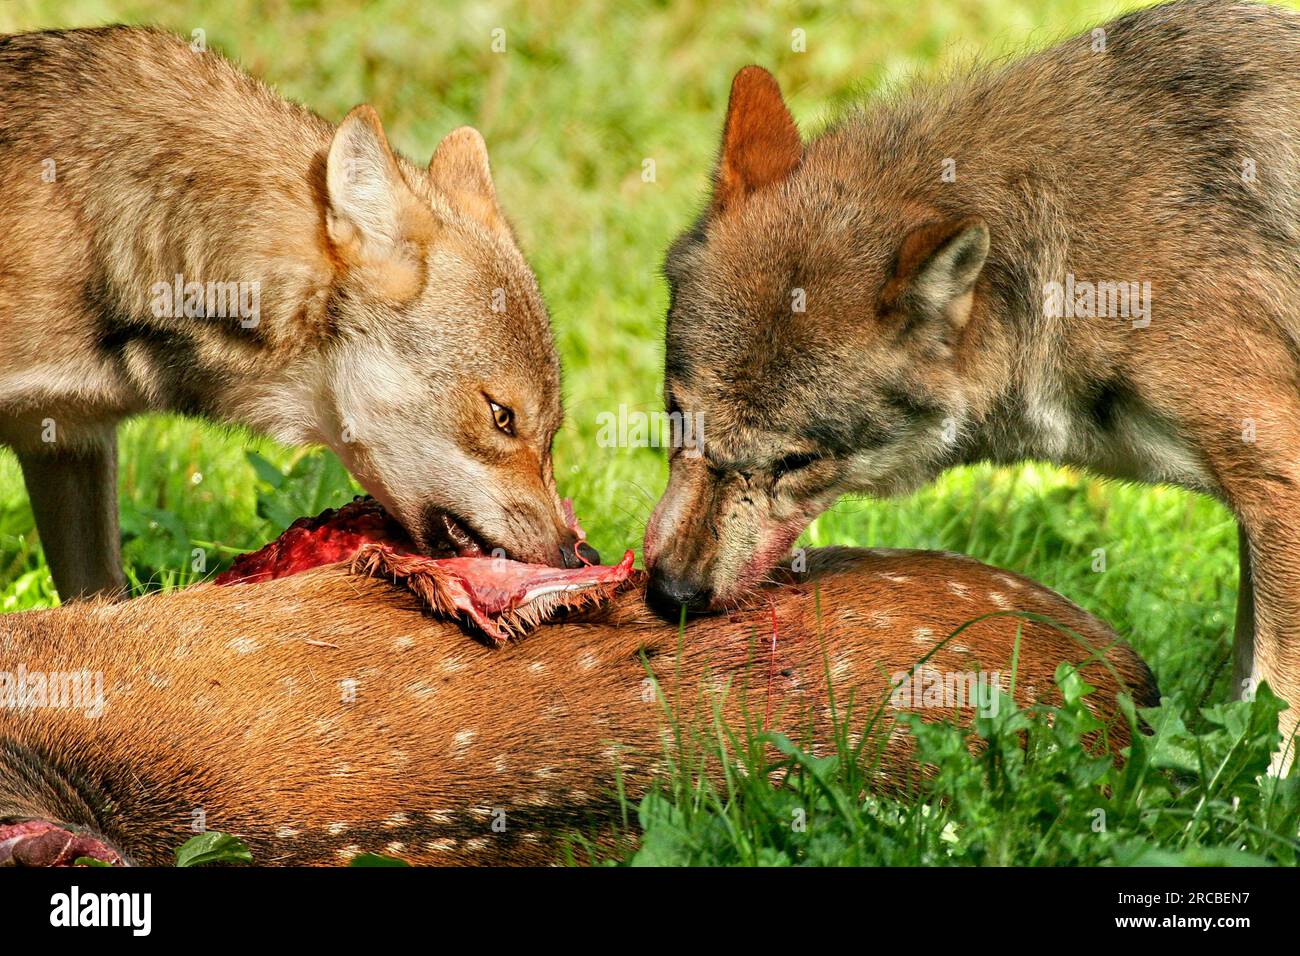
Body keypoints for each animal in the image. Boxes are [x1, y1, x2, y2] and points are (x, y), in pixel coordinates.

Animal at [644, 0, 1300, 743]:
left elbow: (1271, 711)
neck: (1079, 264)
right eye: (676, 413)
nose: (671, 594)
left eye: (796, 462)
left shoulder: (1277, 482)